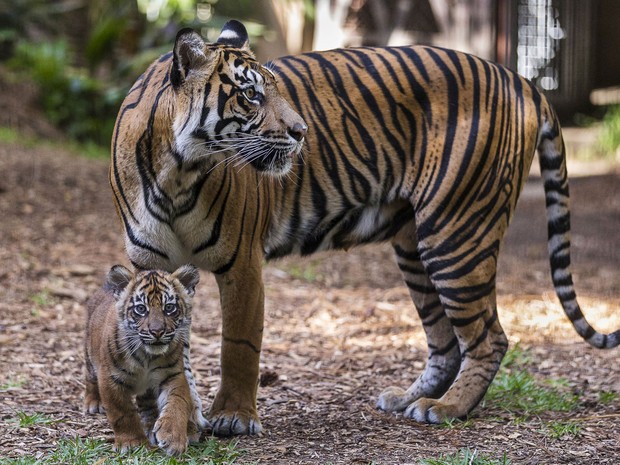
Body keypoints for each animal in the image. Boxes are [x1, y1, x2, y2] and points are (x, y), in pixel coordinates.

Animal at [111, 20, 620, 434]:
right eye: (251, 94)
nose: (302, 132)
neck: (176, 171)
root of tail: (520, 79)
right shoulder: (152, 267)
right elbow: (166, 344)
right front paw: (171, 413)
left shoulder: (242, 264)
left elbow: (238, 344)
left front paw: (232, 417)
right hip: (414, 245)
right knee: (446, 342)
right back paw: (408, 399)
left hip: (455, 232)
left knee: (489, 337)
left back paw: (446, 408)